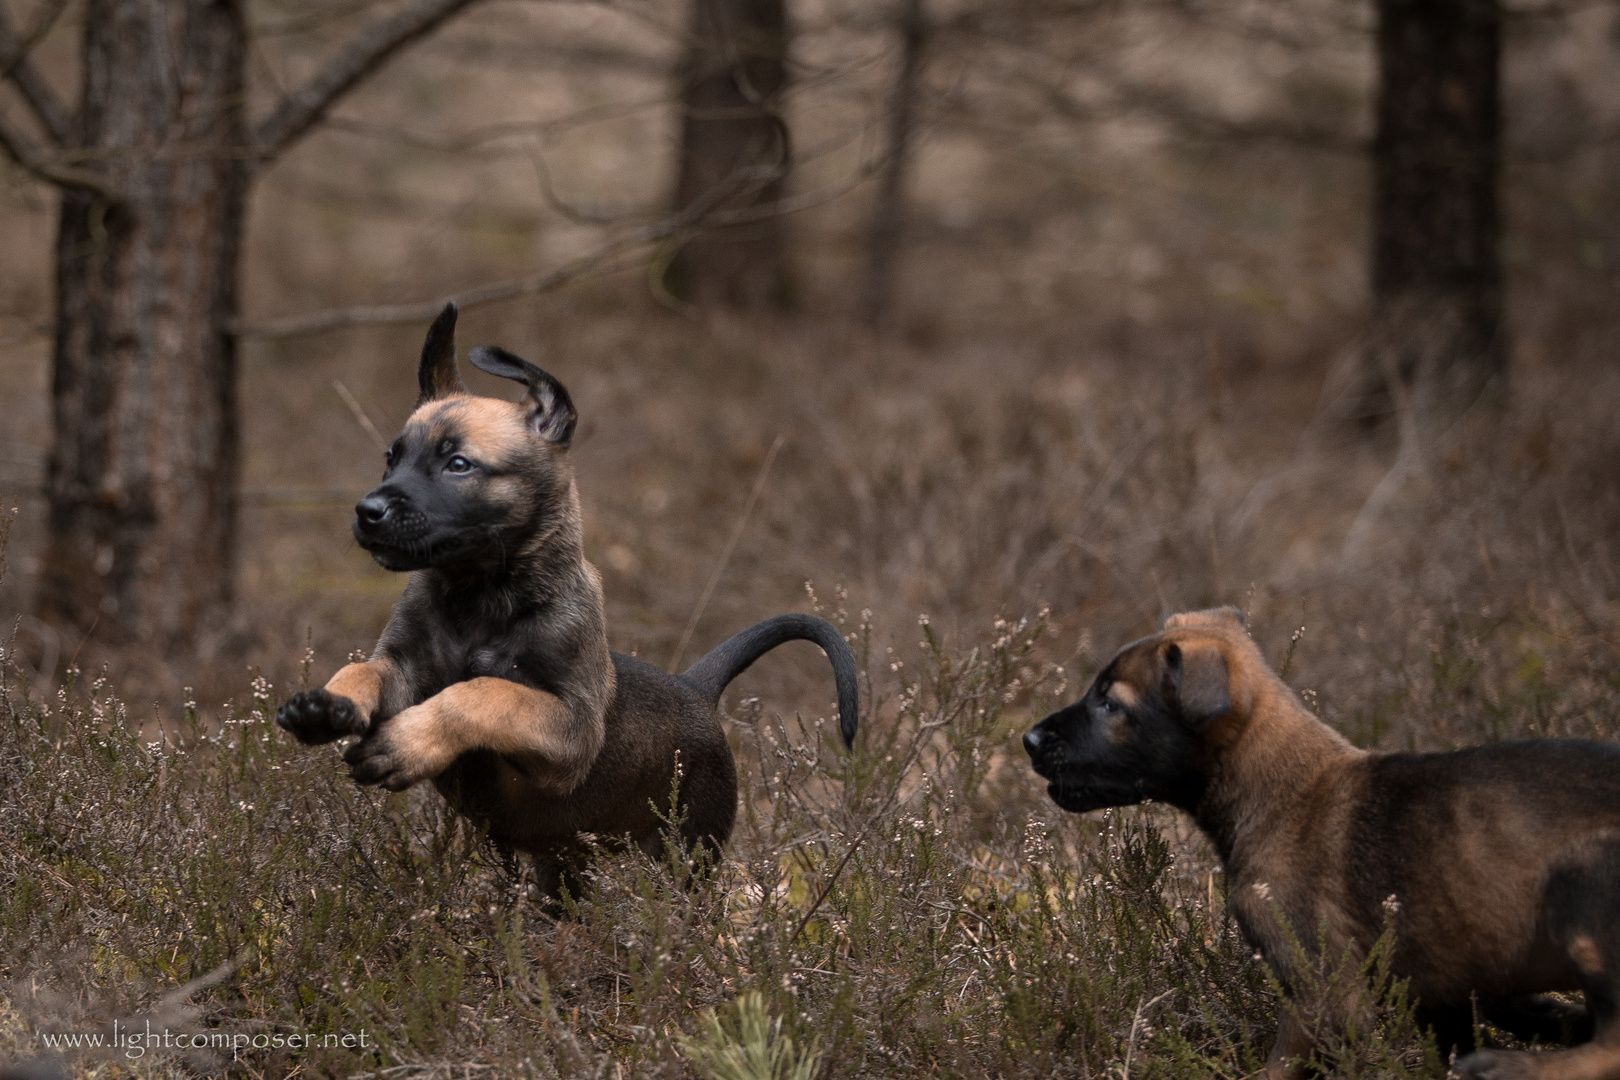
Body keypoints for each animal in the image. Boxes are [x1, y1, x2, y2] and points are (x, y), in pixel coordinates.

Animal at [278, 302, 861, 893]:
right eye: (390, 458)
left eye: (459, 464)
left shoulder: (569, 732)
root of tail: (695, 690)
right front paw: (326, 705)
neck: (480, 599)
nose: (367, 512)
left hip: (687, 857)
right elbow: (364, 670)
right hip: (563, 866)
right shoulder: (403, 668)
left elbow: (484, 691)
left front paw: (406, 743)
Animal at [1023, 608, 1620, 1080]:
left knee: (1612, 1043)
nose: (1027, 739)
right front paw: (1556, 1017)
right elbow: (1497, 1007)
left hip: (1580, 882)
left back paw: (1508, 1067)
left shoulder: (1324, 997)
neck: (1279, 793)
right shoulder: (1445, 982)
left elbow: (1274, 1073)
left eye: (1111, 706)